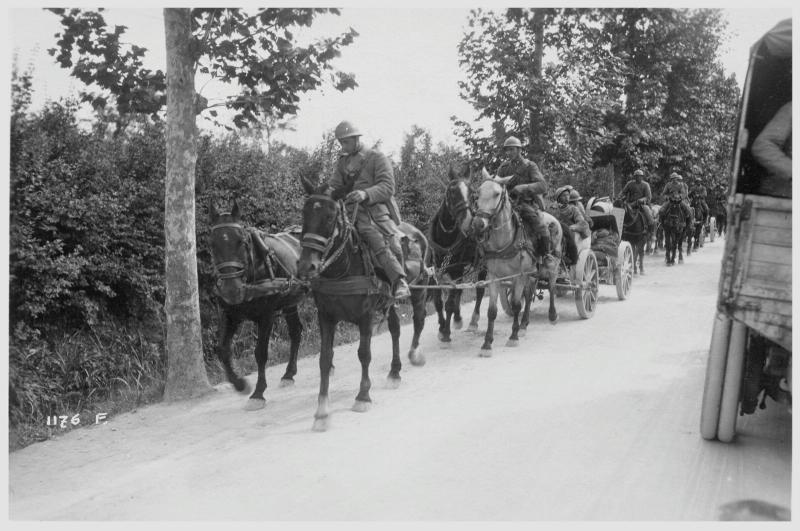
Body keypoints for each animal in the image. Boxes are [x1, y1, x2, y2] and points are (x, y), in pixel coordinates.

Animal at [206, 200, 306, 412]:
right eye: (212, 244)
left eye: (241, 242)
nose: (232, 290)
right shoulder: (230, 314)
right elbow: (222, 350)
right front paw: (240, 384)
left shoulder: (266, 315)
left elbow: (260, 353)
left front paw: (258, 393)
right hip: (290, 302)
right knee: (296, 331)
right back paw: (288, 374)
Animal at [296, 177, 432, 430]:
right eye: (304, 213)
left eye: (330, 216)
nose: (306, 266)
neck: (343, 269)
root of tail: (418, 233)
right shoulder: (326, 317)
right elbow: (325, 359)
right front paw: (322, 412)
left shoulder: (365, 316)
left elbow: (364, 353)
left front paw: (363, 396)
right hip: (389, 302)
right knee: (395, 329)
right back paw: (394, 372)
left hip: (419, 290)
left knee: (418, 320)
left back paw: (414, 354)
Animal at [432, 164, 488, 342]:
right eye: (452, 191)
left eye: (473, 193)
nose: (470, 223)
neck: (445, 239)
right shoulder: (435, 271)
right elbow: (438, 301)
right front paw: (442, 326)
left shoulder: (456, 269)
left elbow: (449, 302)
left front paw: (446, 333)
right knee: (459, 290)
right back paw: (457, 318)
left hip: (481, 265)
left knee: (480, 289)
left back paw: (473, 321)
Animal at [468, 170, 564, 358]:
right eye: (478, 193)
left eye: (497, 194)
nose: (478, 224)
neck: (504, 241)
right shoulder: (494, 277)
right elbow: (492, 311)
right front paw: (487, 344)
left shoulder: (519, 276)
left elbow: (516, 304)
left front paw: (513, 336)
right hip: (532, 273)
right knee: (529, 293)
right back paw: (524, 324)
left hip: (552, 265)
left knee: (551, 286)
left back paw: (552, 315)